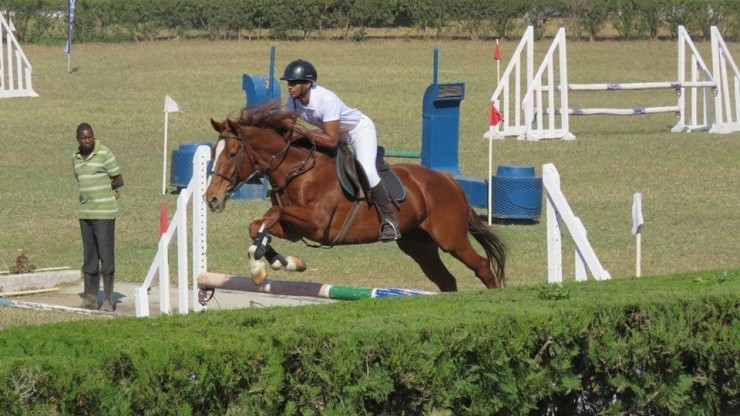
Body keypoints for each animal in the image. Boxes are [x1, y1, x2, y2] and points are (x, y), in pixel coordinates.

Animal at [205, 104, 506, 292]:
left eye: (232, 153)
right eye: (212, 151)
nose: (212, 199)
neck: (297, 170)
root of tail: (448, 180)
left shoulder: (317, 224)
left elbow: (270, 215)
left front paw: (262, 266)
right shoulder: (294, 230)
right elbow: (257, 225)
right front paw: (277, 263)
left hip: (450, 238)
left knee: (482, 266)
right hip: (419, 245)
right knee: (446, 281)